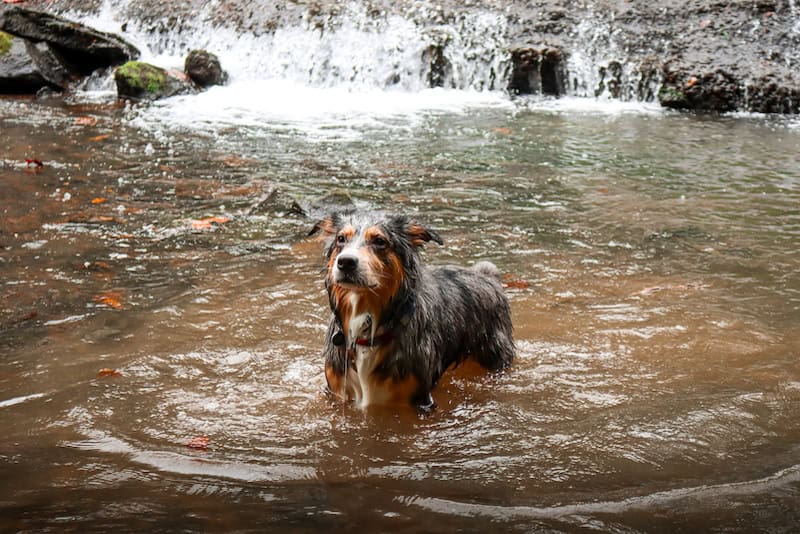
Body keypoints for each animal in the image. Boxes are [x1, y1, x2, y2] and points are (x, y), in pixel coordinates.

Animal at [310, 213, 516, 410]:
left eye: (379, 241)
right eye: (341, 239)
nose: (345, 262)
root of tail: (488, 276)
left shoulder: (420, 399)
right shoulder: (336, 391)